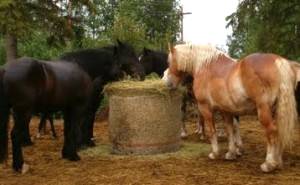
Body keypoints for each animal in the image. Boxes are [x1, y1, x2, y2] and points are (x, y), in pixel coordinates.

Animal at [164, 43, 298, 172]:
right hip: (276, 111)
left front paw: (215, 153)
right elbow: (229, 130)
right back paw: (278, 162)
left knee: (271, 132)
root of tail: (278, 61)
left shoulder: (205, 107)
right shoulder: (226, 110)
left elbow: (212, 130)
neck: (204, 66)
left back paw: (269, 164)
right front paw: (231, 153)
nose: (167, 82)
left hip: (263, 110)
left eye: (169, 61)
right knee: (279, 131)